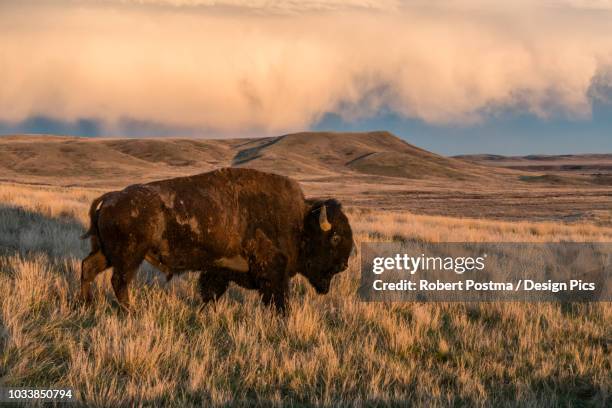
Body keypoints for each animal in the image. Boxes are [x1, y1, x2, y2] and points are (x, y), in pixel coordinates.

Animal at [80, 167, 354, 310]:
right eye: (335, 237)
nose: (344, 265)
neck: (299, 220)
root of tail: (112, 197)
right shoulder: (272, 272)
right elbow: (278, 298)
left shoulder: (219, 269)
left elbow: (210, 291)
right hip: (129, 256)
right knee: (119, 281)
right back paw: (131, 311)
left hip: (108, 253)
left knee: (88, 267)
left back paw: (87, 304)